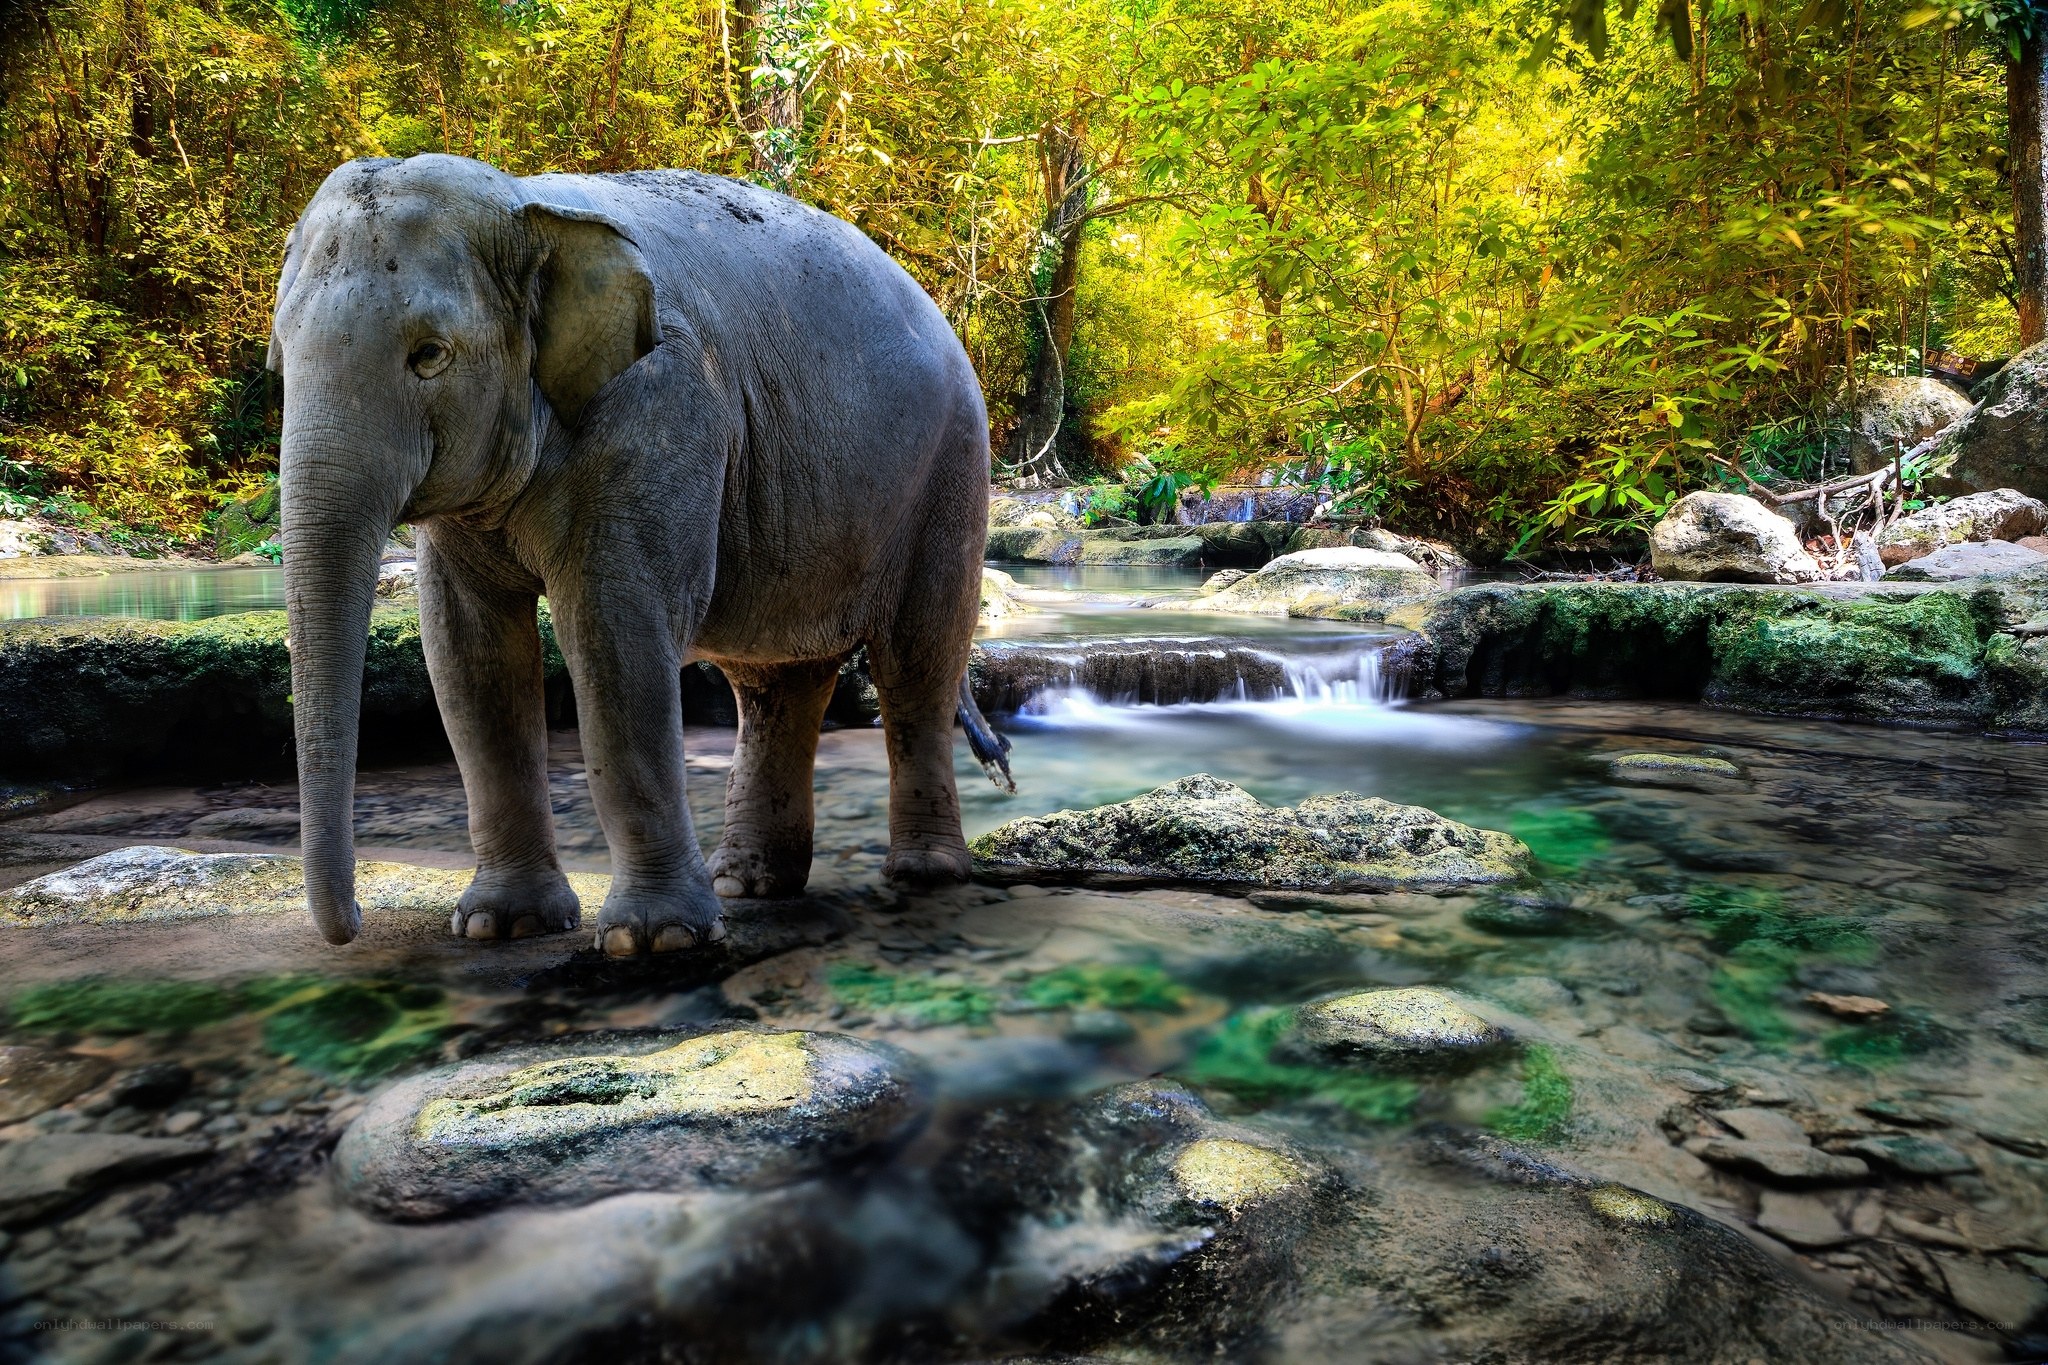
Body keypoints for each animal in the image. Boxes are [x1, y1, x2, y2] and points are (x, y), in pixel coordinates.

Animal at [267, 153, 1009, 956]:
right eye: (282, 360)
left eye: (430, 355)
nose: (350, 926)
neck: (529, 207)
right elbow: (469, 656)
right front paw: (500, 925)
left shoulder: (661, 411)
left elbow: (614, 631)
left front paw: (654, 941)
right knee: (776, 683)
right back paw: (748, 884)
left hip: (951, 473)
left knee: (916, 663)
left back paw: (924, 875)